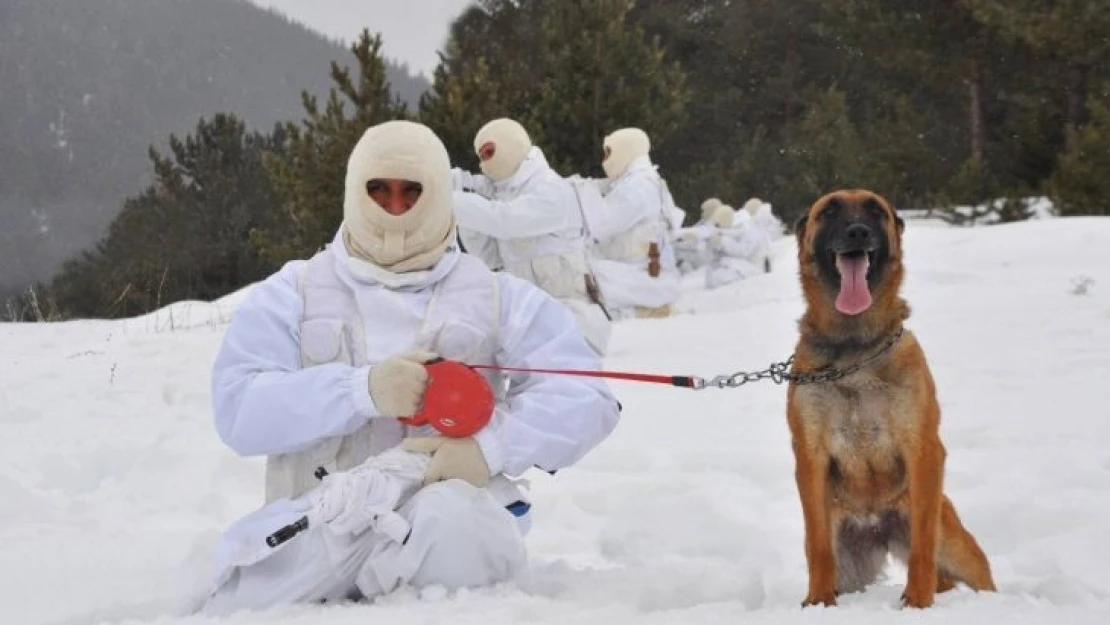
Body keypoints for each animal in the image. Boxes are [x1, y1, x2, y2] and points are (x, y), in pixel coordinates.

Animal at [790, 192, 999, 612]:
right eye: (830, 210)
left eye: (875, 209)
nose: (858, 231)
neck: (853, 349)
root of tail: (877, 527)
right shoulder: (810, 458)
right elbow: (818, 547)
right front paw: (817, 604)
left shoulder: (924, 450)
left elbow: (922, 546)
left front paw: (917, 603)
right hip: (850, 569)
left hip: (956, 545)